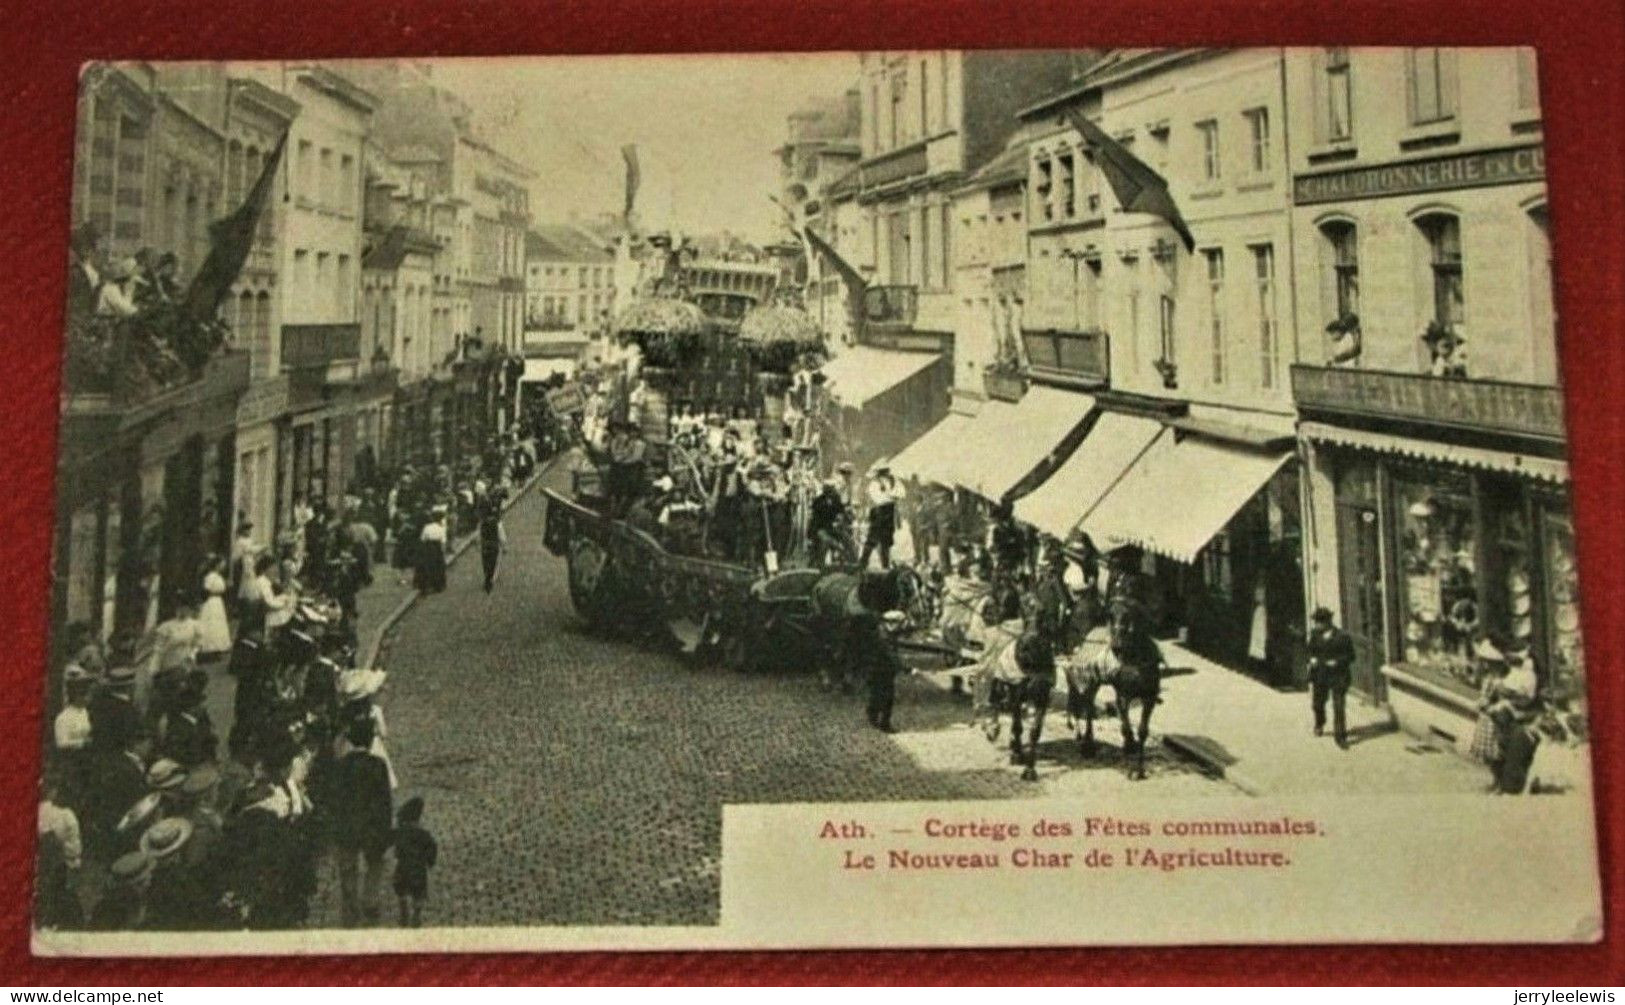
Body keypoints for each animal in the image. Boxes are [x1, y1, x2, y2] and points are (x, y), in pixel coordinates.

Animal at [1066, 598, 1170, 777]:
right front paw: (1129, 749)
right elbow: (1126, 725)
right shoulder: (1123, 695)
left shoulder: (1149, 697)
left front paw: (1139, 769)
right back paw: (1087, 744)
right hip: (1090, 681)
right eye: (1110, 616)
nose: (1116, 647)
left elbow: (1142, 731)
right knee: (1087, 708)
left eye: (1129, 616)